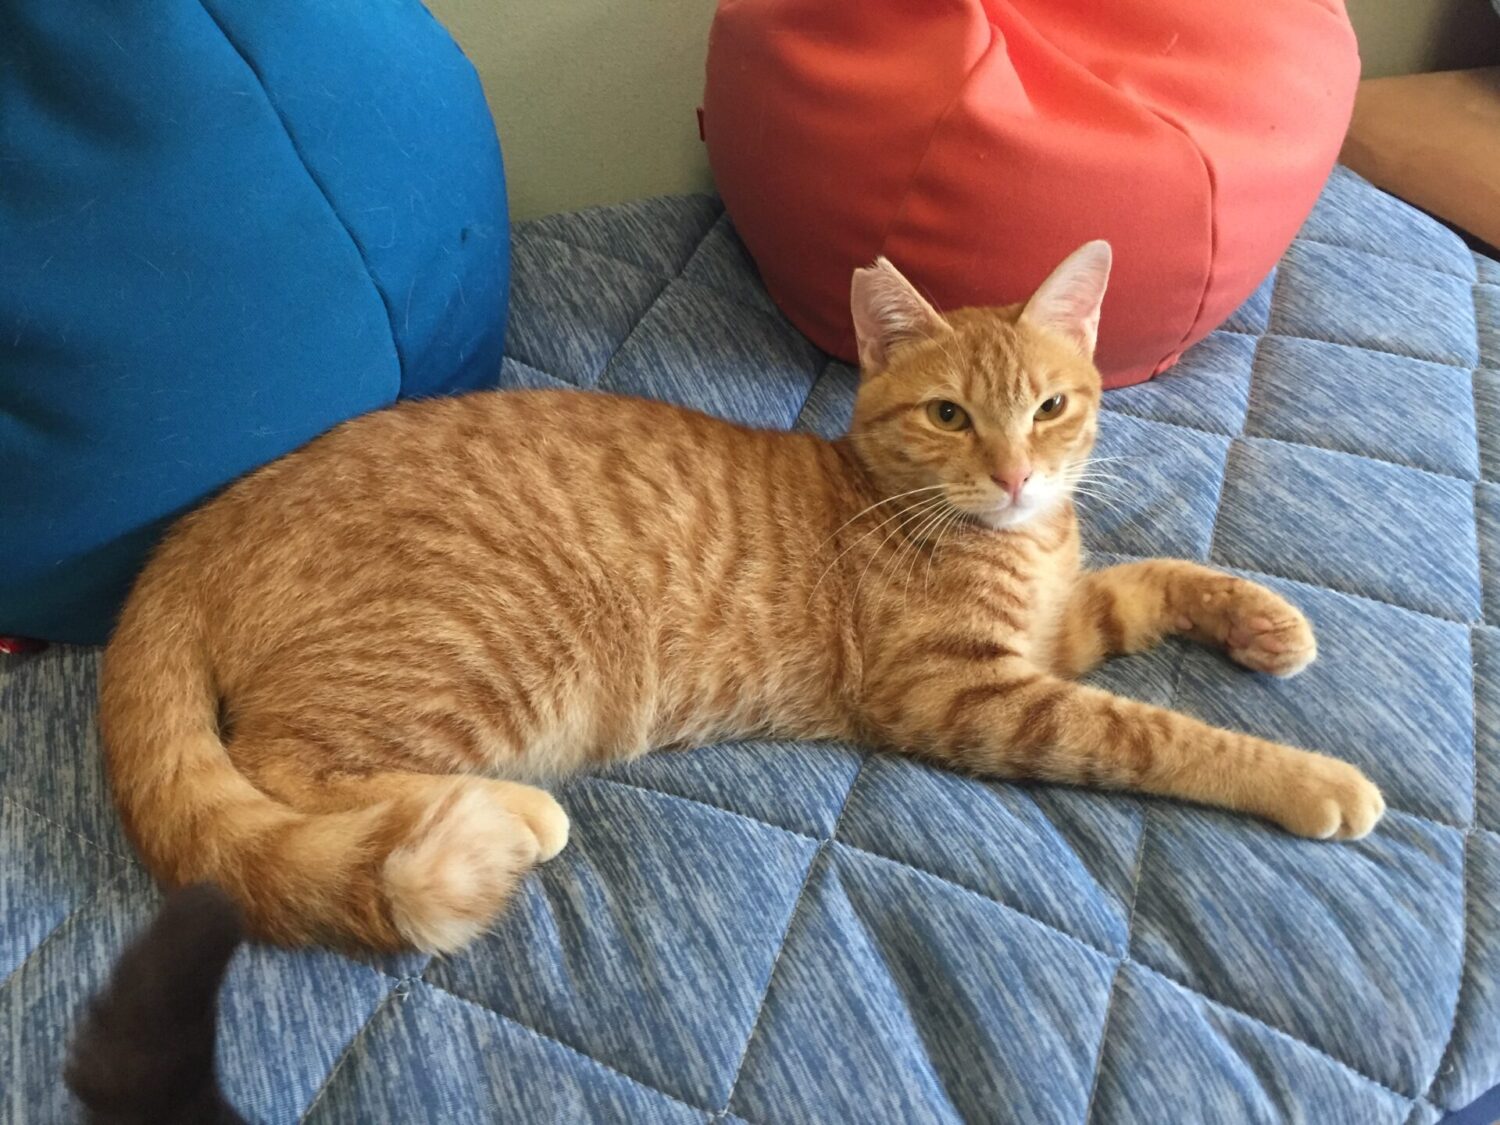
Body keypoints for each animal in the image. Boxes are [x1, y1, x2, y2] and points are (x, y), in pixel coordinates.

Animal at [98, 241, 1384, 953]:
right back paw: (513, 813)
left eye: (1051, 408)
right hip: (484, 649)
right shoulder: (967, 694)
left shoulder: (1054, 629)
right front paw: (1309, 779)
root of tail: (196, 530)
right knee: (282, 763)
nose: (1016, 474)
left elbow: (1143, 583)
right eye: (949, 416)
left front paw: (1261, 619)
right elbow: (1155, 735)